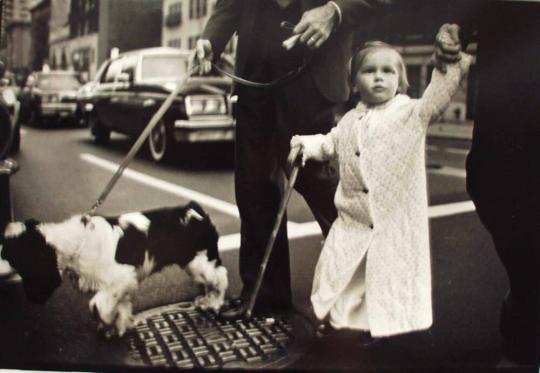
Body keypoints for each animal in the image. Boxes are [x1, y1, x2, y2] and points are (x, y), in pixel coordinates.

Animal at [0, 202, 228, 336]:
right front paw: (120, 324)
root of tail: (195, 210)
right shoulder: (121, 285)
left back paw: (214, 303)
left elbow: (97, 305)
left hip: (200, 262)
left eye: (14, 257)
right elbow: (121, 306)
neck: (75, 241)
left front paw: (107, 321)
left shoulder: (121, 278)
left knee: (220, 278)